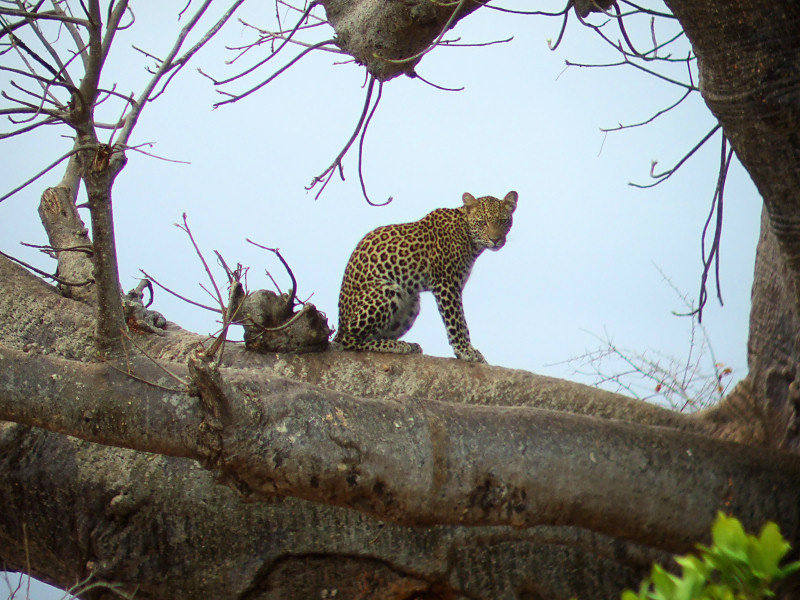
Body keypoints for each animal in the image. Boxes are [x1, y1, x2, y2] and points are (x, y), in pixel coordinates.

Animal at [332, 190, 516, 364]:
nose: (495, 240)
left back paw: (408, 345)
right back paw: (394, 345)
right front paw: (465, 351)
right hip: (388, 289)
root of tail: (339, 325)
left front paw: (469, 350)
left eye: (503, 221)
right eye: (482, 222)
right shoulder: (447, 284)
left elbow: (462, 322)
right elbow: (456, 321)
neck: (468, 236)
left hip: (412, 301)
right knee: (349, 340)